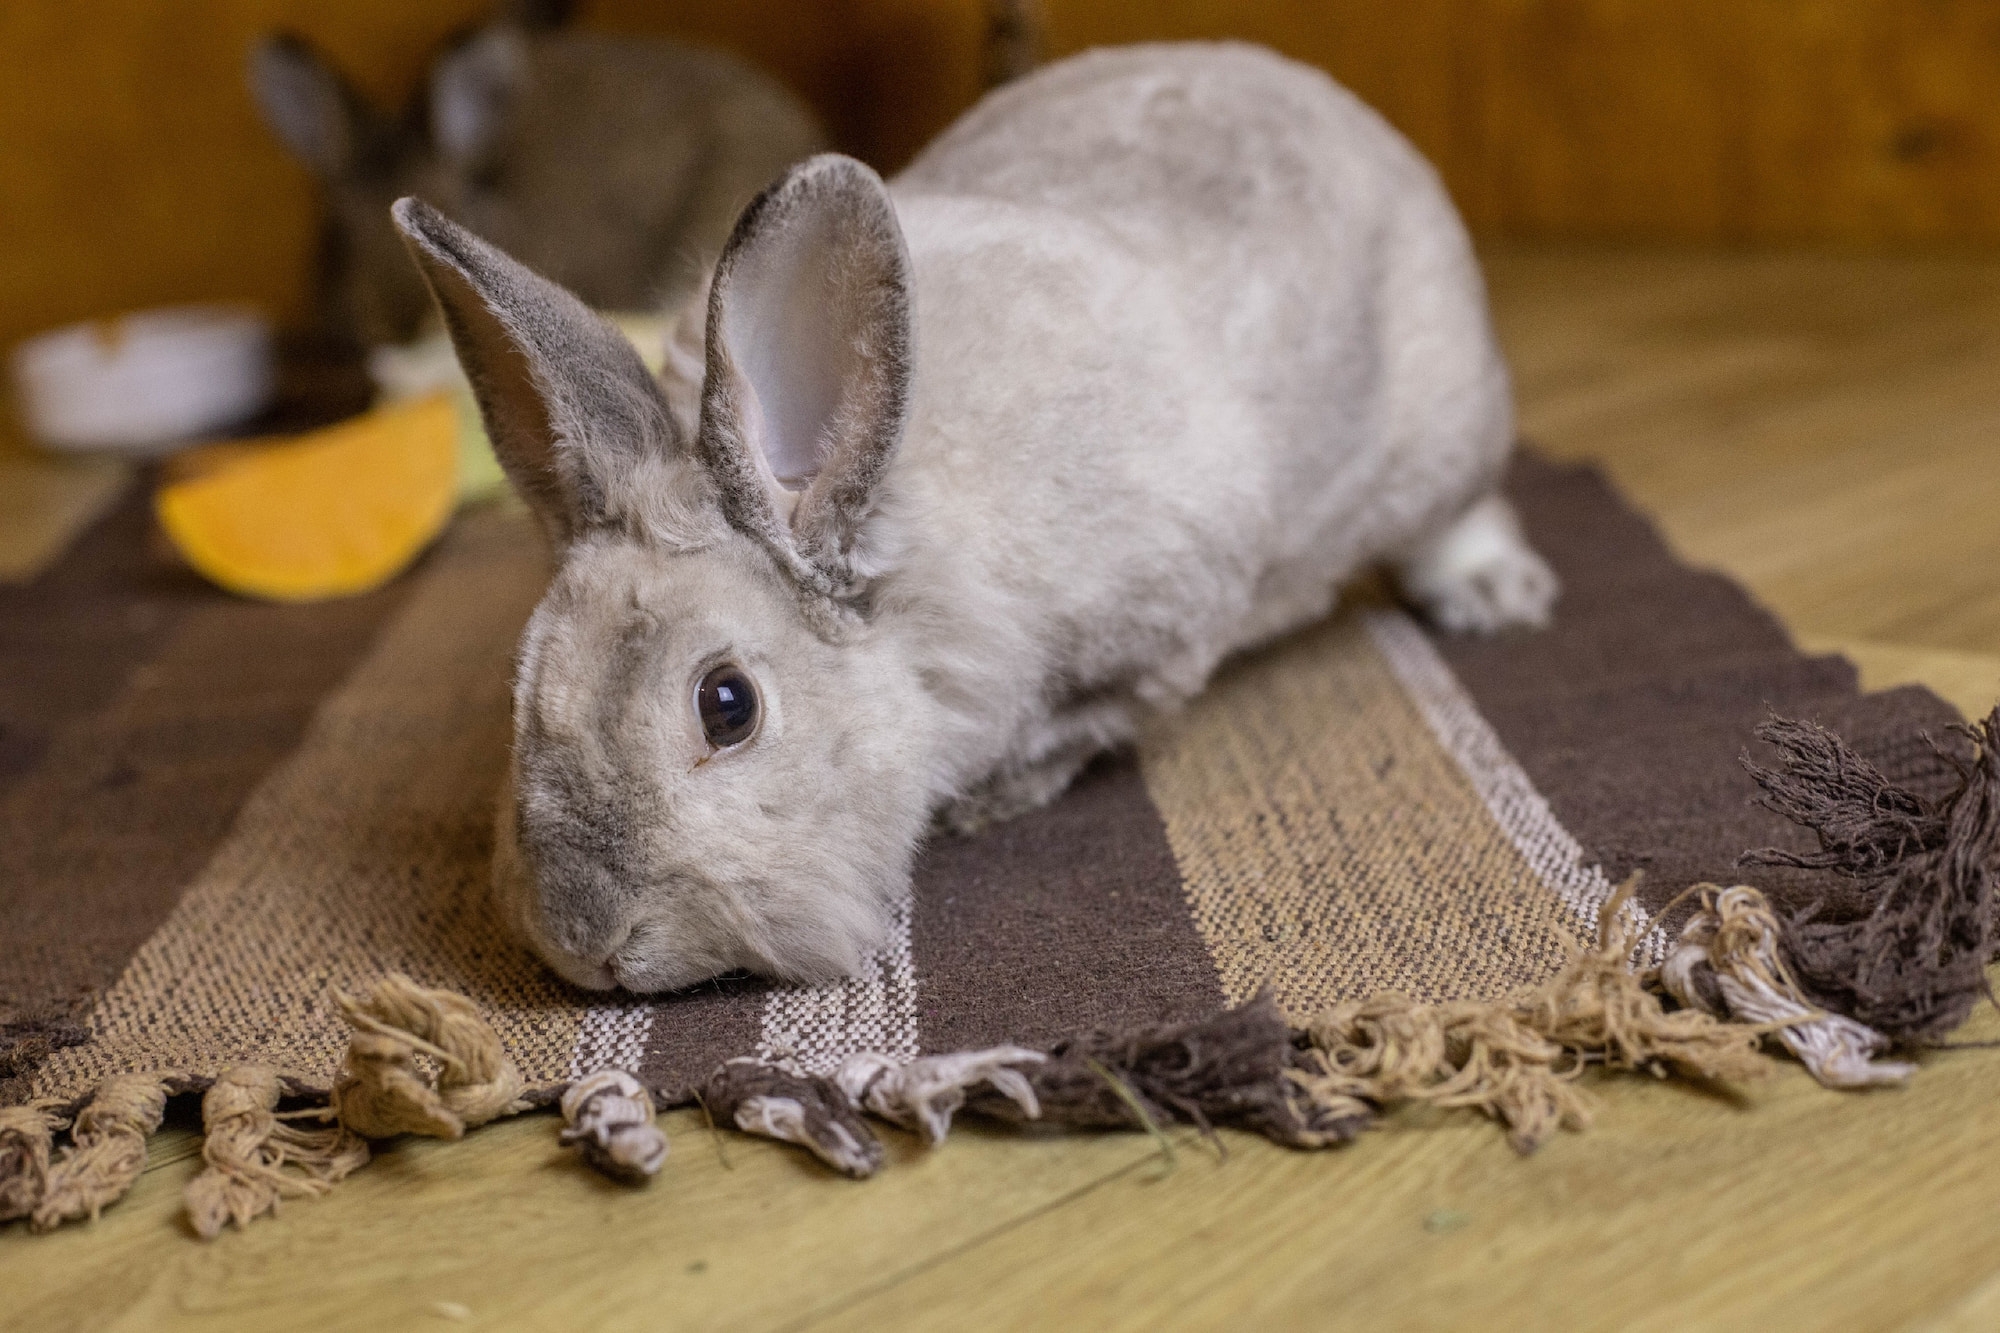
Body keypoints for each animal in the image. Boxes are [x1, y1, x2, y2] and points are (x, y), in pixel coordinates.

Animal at [382, 41, 1552, 992]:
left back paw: (1496, 595)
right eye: (525, 684)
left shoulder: (1168, 629)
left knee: (1460, 508)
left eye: (726, 705)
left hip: (1443, 440)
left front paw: (996, 796)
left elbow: (1102, 718)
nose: (588, 943)